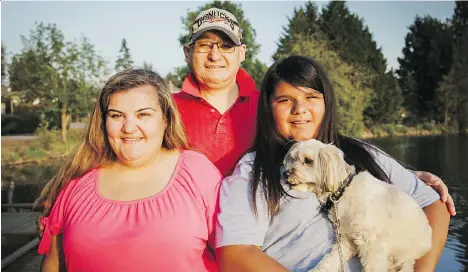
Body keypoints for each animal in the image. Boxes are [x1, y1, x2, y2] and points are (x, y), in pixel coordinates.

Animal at [282, 139, 432, 272]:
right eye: (292, 158)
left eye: (307, 160)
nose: (285, 173)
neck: (342, 192)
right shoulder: (345, 239)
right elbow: (330, 260)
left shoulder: (373, 242)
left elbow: (373, 267)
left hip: (404, 254)